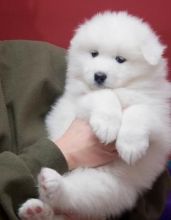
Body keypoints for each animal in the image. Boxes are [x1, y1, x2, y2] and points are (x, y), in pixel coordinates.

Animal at [19, 11, 171, 220]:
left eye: (120, 59)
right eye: (94, 54)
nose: (99, 75)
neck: (123, 89)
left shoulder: (160, 113)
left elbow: (140, 110)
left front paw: (130, 146)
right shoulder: (77, 101)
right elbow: (104, 95)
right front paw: (107, 126)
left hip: (106, 188)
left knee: (73, 198)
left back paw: (43, 200)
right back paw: (43, 196)